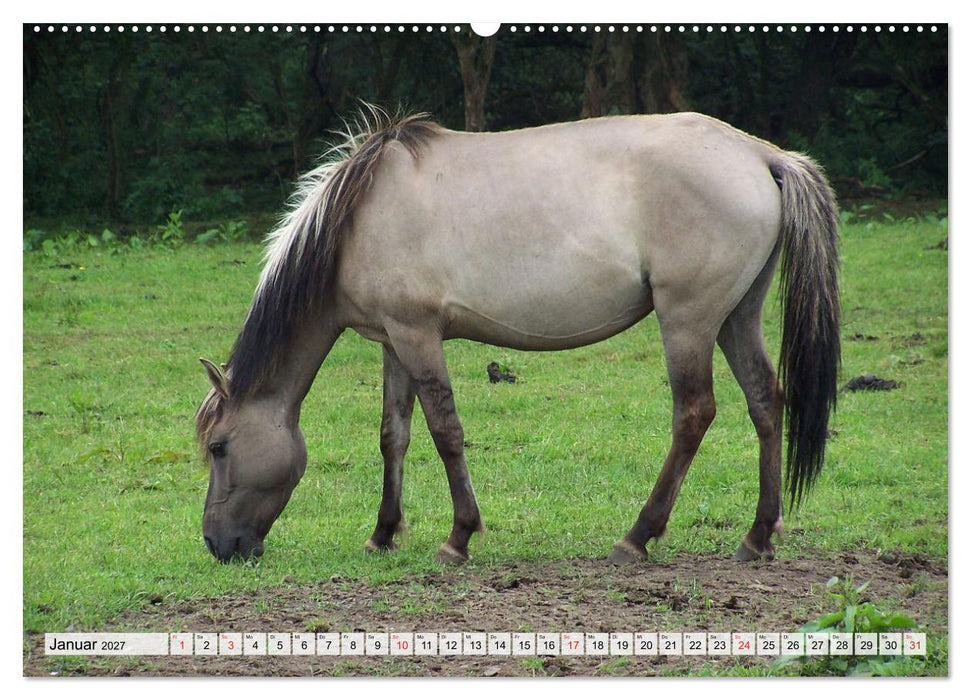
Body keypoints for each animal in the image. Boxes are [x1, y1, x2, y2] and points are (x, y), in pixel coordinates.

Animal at [196, 107, 840, 565]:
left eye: (219, 447)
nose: (219, 546)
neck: (357, 218)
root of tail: (760, 155)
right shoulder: (393, 340)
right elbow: (394, 435)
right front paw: (383, 533)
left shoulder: (418, 335)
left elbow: (445, 431)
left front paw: (458, 538)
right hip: (736, 317)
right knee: (765, 403)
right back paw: (757, 537)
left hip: (689, 319)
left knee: (694, 413)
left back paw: (637, 536)